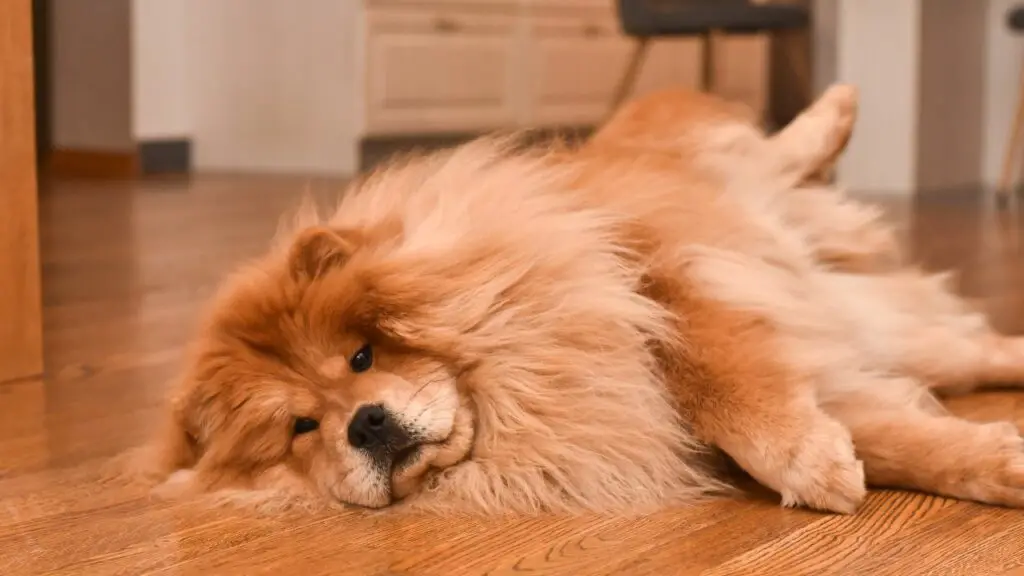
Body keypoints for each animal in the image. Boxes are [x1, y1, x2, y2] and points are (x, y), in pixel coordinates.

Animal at [136, 84, 1024, 510]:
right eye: (299, 428)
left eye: (361, 356)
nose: (365, 424)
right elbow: (902, 442)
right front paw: (998, 464)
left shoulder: (664, 273)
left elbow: (724, 388)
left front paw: (806, 461)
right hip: (908, 337)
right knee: (984, 352)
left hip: (701, 170)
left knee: (764, 150)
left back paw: (836, 106)